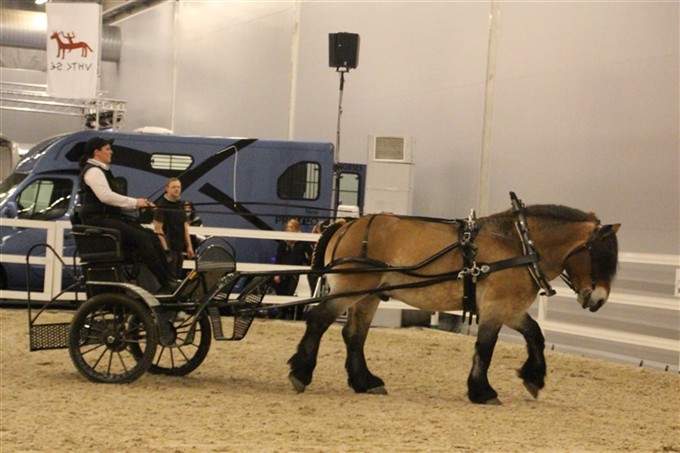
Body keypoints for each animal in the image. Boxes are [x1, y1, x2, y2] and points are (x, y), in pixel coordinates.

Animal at [288, 194, 620, 402]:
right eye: (600, 256)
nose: (598, 300)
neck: (518, 243)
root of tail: (347, 225)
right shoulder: (495, 307)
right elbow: (485, 348)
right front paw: (482, 391)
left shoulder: (509, 309)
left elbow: (535, 335)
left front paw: (534, 379)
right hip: (349, 289)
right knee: (318, 321)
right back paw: (301, 373)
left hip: (366, 296)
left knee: (354, 335)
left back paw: (365, 382)